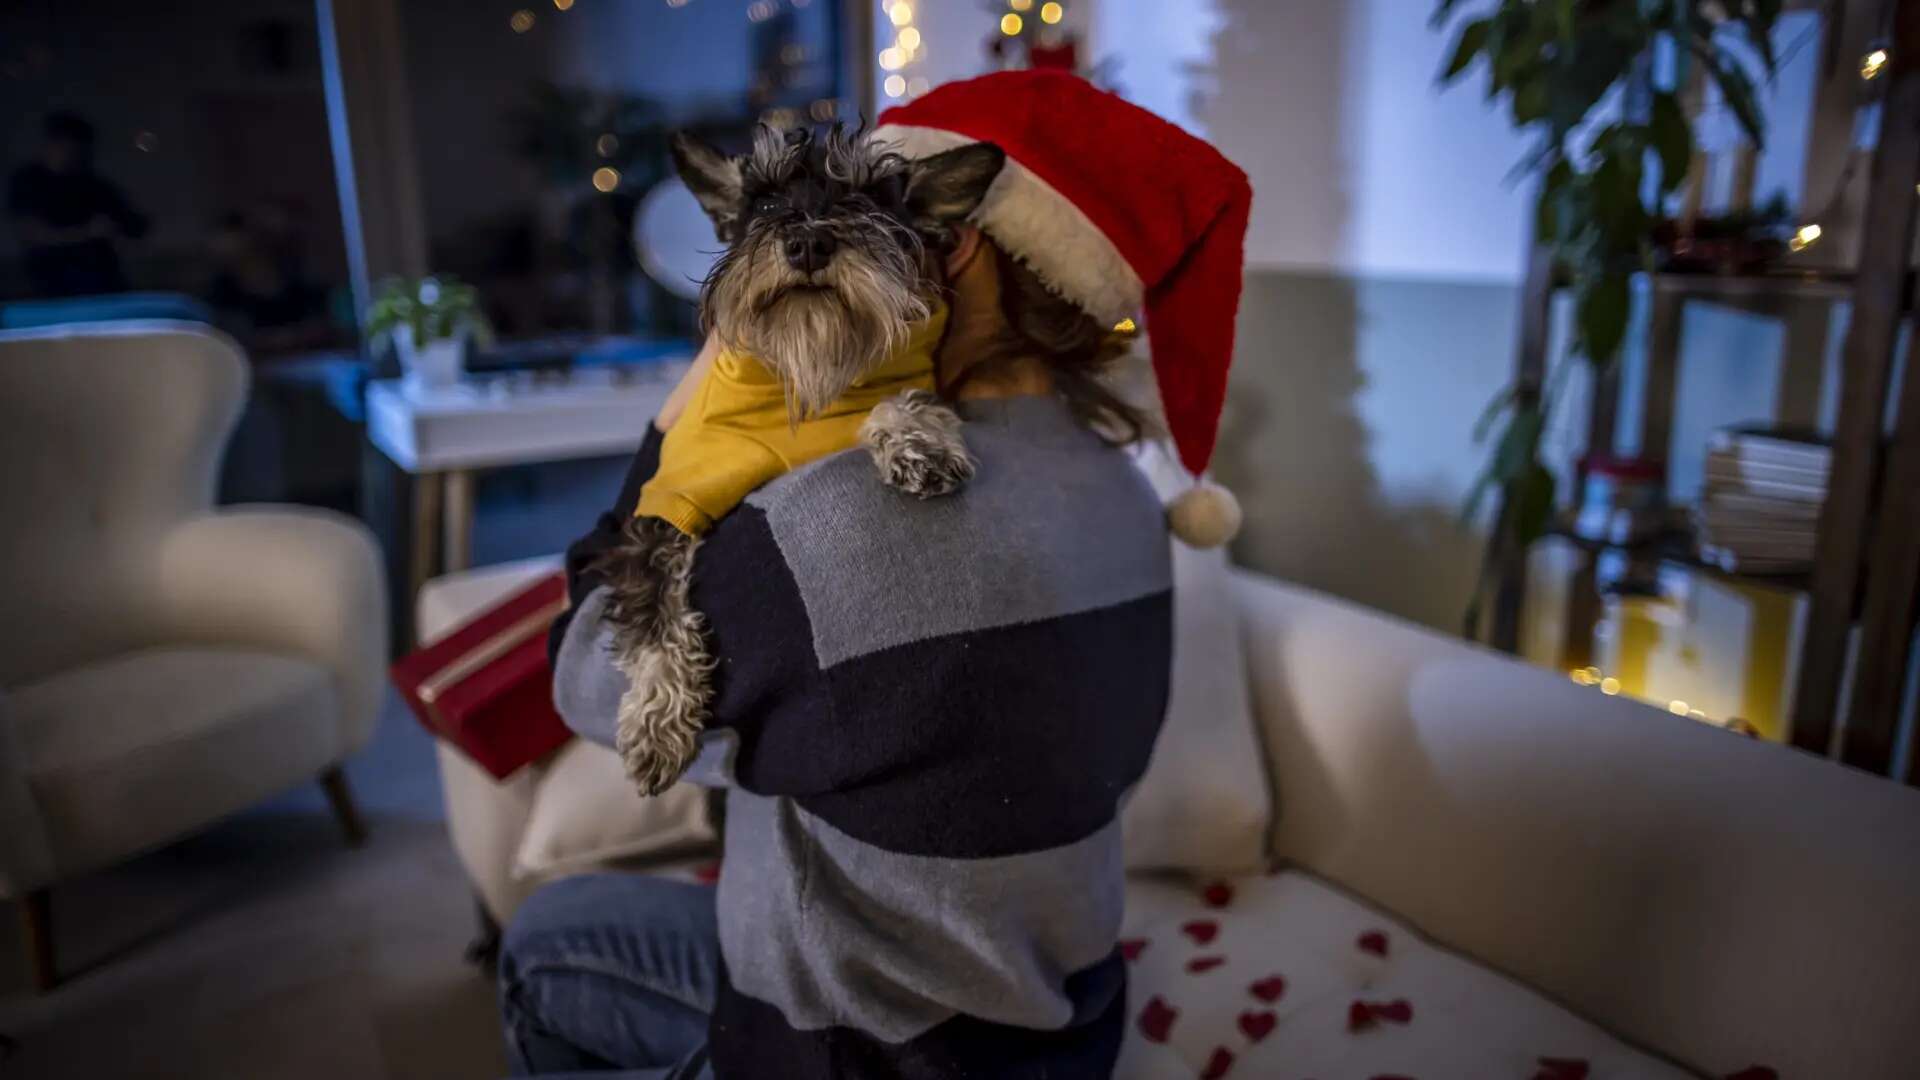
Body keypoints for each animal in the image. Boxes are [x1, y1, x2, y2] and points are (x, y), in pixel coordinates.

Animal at [602, 123, 1006, 791]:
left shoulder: (905, 384)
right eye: (765, 202)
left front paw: (916, 441)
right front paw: (657, 727)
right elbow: (655, 617)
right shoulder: (664, 505)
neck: (804, 363)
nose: (809, 242)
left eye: (868, 199)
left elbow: (904, 398)